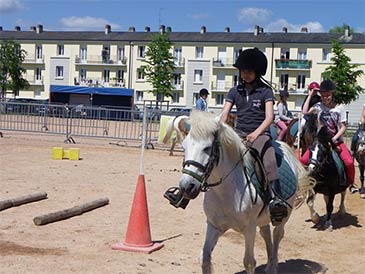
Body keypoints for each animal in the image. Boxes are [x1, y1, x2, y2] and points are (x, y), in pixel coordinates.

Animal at [178, 110, 312, 274]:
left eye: (207, 148)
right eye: (184, 147)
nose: (186, 187)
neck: (227, 191)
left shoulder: (249, 228)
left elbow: (249, 262)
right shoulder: (214, 225)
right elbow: (204, 258)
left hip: (283, 215)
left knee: (277, 235)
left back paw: (273, 266)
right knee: (266, 234)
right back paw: (269, 264)